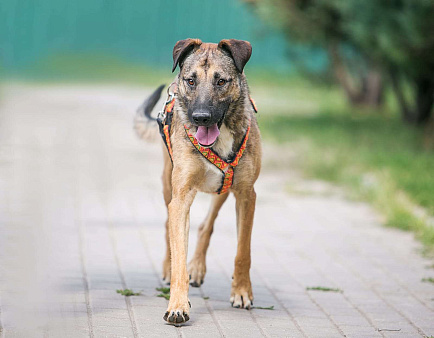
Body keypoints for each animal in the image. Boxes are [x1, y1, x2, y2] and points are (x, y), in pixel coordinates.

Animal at [134, 38, 262, 324]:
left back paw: (199, 268)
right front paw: (177, 305)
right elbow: (179, 251)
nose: (200, 117)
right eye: (191, 81)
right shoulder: (181, 197)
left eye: (221, 81)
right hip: (168, 185)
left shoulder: (247, 195)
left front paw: (241, 292)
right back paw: (169, 268)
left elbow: (244, 251)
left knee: (207, 225)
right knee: (168, 226)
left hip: (223, 190)